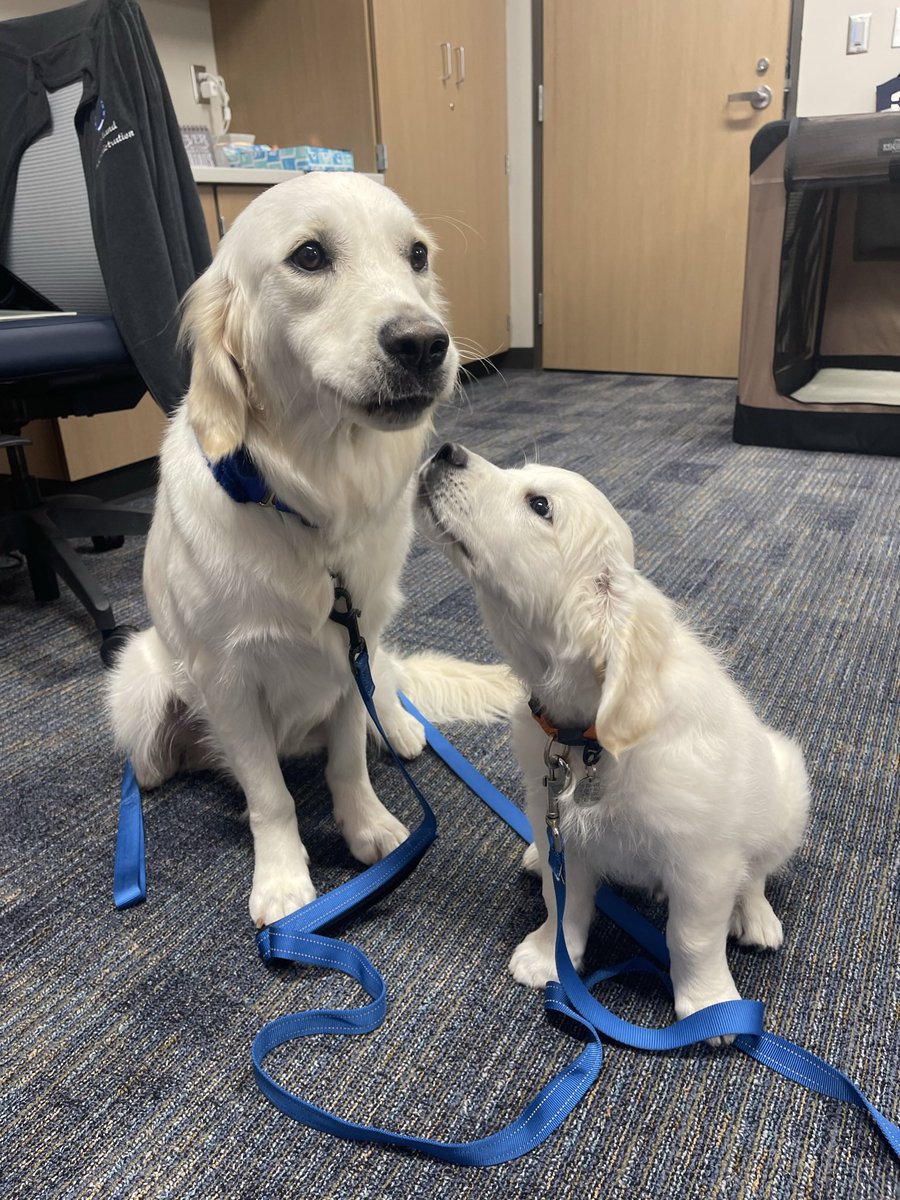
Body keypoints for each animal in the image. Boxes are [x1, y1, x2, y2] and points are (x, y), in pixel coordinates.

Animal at [107, 177, 513, 926]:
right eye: (310, 256)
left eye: (416, 254)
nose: (425, 343)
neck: (314, 503)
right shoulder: (229, 680)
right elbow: (270, 795)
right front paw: (282, 880)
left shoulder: (350, 652)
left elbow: (348, 756)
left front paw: (369, 829)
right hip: (140, 687)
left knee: (389, 690)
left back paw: (401, 726)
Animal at [420, 446, 816, 1027]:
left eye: (540, 505)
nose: (445, 449)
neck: (586, 737)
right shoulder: (558, 823)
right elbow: (563, 902)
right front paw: (549, 956)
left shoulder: (704, 860)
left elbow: (693, 936)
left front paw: (711, 1004)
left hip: (786, 791)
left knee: (758, 870)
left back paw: (756, 915)